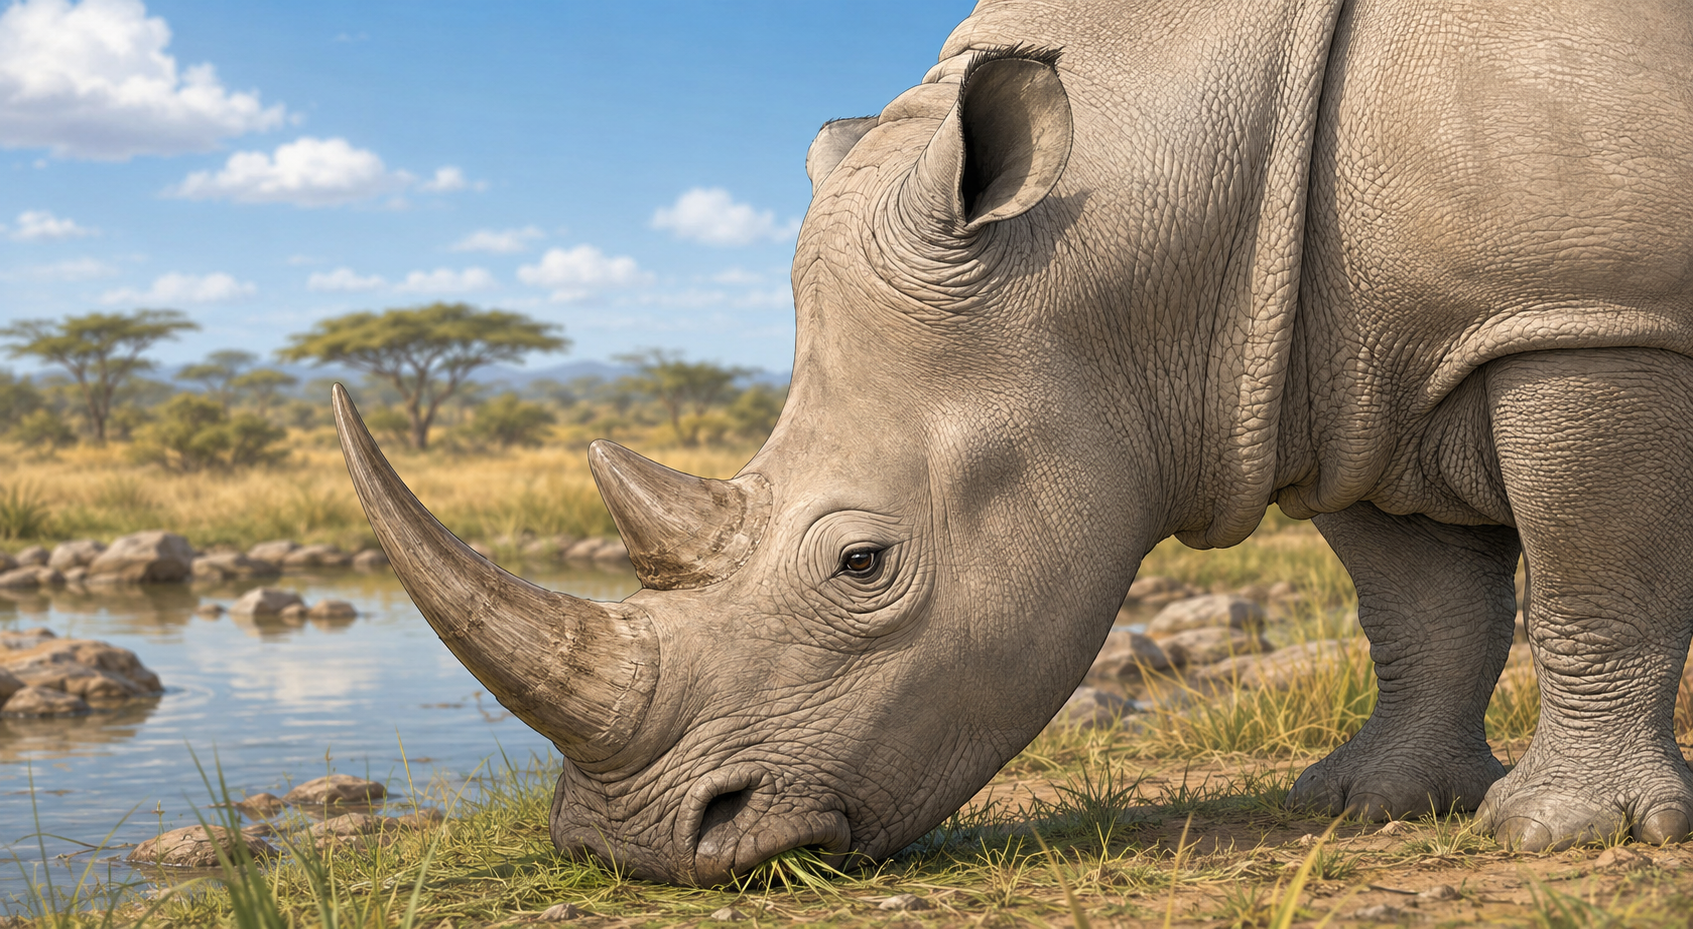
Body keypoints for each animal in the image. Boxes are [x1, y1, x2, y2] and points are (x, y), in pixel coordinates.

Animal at [333, 0, 1693, 884]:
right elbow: (1419, 606)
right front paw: (1368, 802)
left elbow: (1593, 575)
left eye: (863, 563)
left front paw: (1562, 834)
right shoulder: (1352, 371)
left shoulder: (1590, 314)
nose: (625, 847)